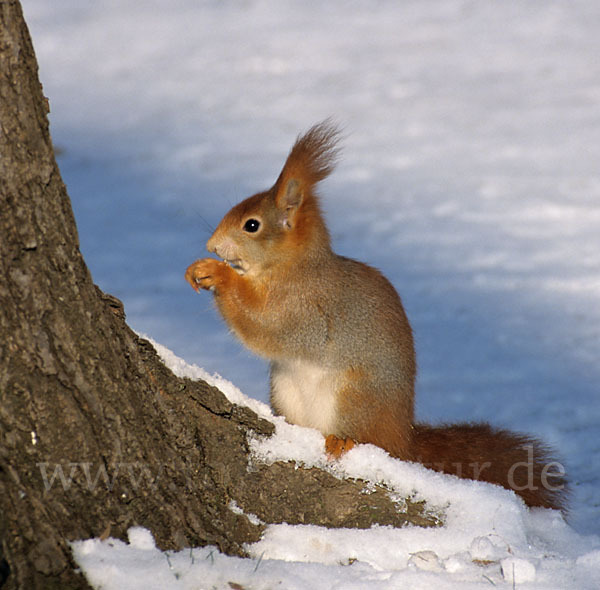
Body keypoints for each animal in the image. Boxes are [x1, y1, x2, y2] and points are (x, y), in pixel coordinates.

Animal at [186, 121, 568, 512]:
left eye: (251, 225)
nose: (212, 245)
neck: (291, 267)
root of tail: (404, 437)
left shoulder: (307, 309)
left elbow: (267, 327)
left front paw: (218, 274)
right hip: (286, 391)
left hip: (357, 397)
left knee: (370, 439)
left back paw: (343, 440)